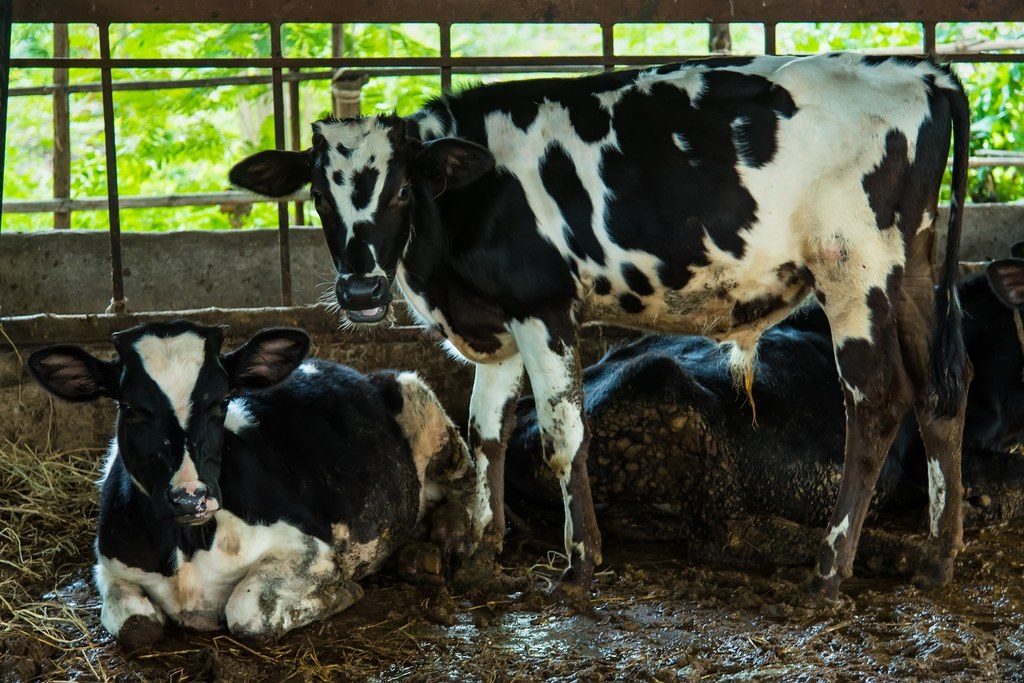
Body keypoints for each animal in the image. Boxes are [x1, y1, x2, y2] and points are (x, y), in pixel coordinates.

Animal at [28, 323, 473, 651]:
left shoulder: (310, 548)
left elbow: (247, 611)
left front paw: (342, 593)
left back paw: (451, 535)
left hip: (417, 397)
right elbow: (138, 627)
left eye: (220, 401)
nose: (191, 497)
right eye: (132, 408)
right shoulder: (108, 564)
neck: (187, 547)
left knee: (469, 482)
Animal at [228, 54, 970, 598]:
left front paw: (579, 564)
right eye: (319, 197)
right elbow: (487, 435)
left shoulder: (544, 307)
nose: (358, 291)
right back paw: (938, 558)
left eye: (401, 190)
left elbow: (564, 435)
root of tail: (922, 72)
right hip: (911, 270)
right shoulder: (499, 327)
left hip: (854, 271)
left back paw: (830, 570)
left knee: (877, 405)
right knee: (942, 393)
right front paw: (481, 552)